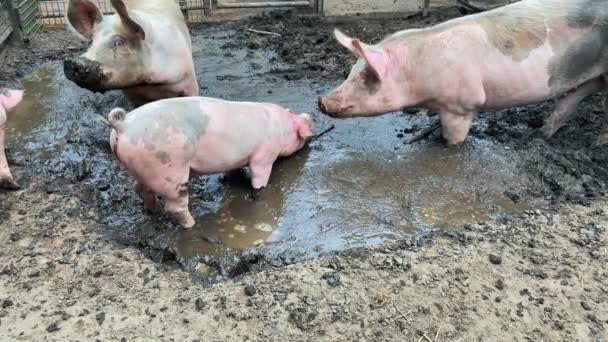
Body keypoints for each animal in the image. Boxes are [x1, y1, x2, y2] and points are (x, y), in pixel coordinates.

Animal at [63, 0, 198, 105]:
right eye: (92, 42)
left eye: (119, 42)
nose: (72, 62)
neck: (147, 84)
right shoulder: (131, 94)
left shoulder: (189, 80)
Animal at [98, 96, 314, 228]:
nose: (308, 114)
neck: (281, 127)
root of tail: (123, 124)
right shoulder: (264, 154)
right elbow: (259, 177)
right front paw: (259, 192)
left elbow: (233, 171)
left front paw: (227, 180)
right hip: (169, 170)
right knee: (174, 206)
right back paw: (191, 224)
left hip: (138, 168)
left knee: (140, 189)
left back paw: (151, 211)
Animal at [318, 0, 608, 146]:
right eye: (350, 71)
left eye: (365, 76)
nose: (321, 101)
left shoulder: (461, 105)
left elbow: (453, 139)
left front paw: (448, 146)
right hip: (592, 78)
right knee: (573, 98)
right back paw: (544, 135)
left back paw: (598, 143)